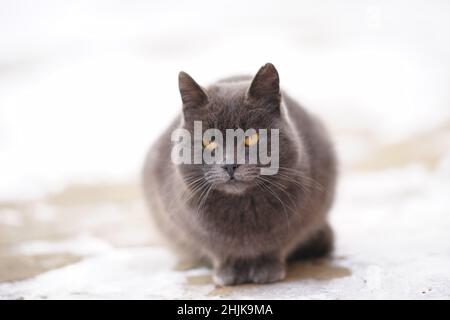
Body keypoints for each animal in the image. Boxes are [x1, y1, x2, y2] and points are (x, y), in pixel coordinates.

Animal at [142, 62, 336, 284]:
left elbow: (278, 244)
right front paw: (228, 272)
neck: (243, 206)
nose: (229, 165)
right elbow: (217, 248)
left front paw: (267, 269)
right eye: (209, 140)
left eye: (251, 138)